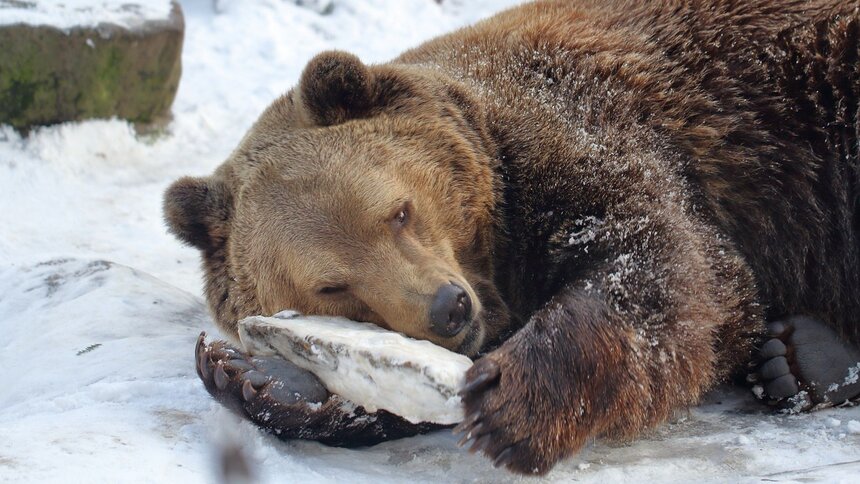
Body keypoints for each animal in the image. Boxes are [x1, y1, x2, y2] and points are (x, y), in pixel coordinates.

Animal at [166, 0, 860, 476]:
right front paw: (260, 378)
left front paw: (513, 400)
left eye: (398, 211)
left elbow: (672, 268)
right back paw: (798, 358)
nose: (446, 307)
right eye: (333, 285)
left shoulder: (589, 132)